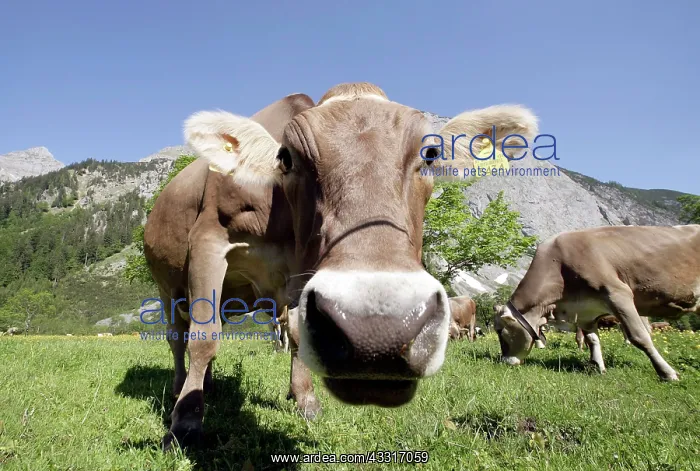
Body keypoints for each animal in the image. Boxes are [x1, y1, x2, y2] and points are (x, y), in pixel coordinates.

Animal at [143, 82, 539, 449]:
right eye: (286, 158)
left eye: (430, 154)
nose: (378, 330)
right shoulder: (209, 242)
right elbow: (203, 338)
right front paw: (185, 422)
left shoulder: (299, 270)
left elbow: (296, 334)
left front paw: (305, 399)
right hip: (168, 287)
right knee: (178, 336)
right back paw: (181, 388)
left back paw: (207, 384)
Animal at [494, 225, 700, 381]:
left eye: (501, 331)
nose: (505, 361)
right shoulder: (585, 311)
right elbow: (592, 339)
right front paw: (598, 368)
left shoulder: (618, 294)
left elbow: (639, 336)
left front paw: (667, 373)